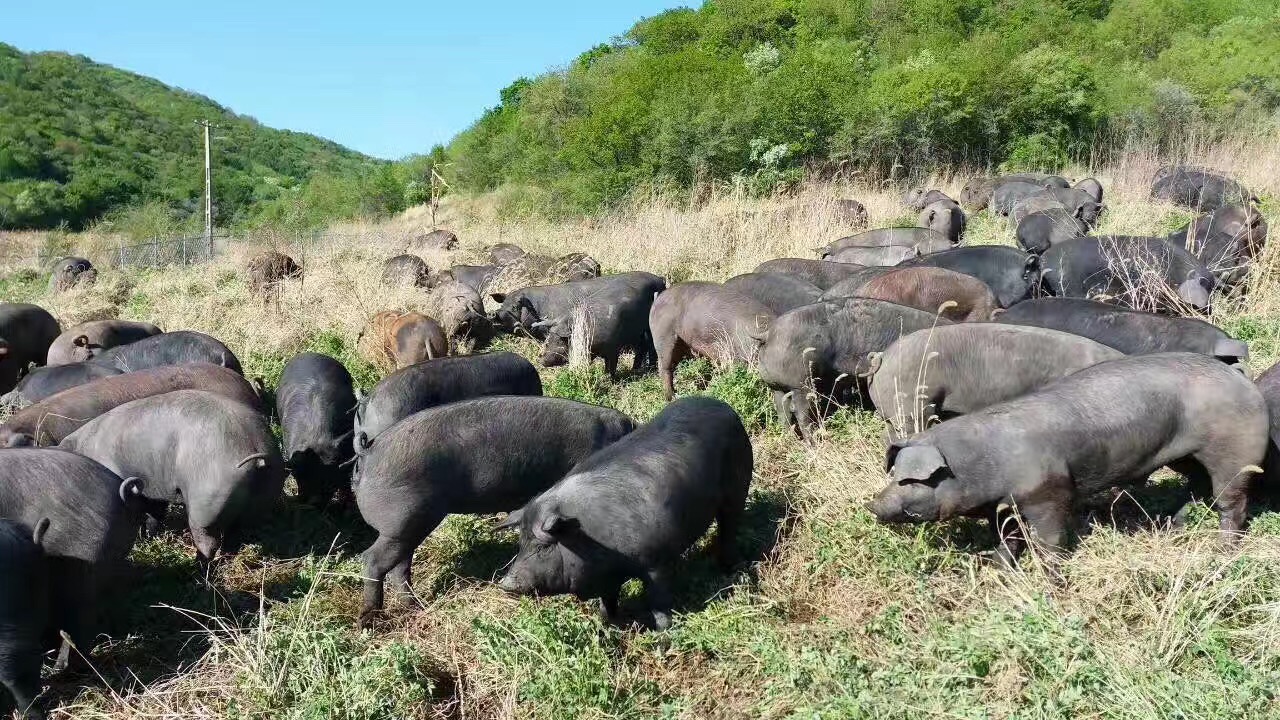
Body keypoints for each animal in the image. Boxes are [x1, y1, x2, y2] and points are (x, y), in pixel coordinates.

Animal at [60, 390, 285, 563]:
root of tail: (254, 450)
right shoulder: (153, 491)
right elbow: (155, 514)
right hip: (265, 495)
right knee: (239, 532)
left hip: (207, 502)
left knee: (207, 539)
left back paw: (198, 565)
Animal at [352, 396, 635, 626]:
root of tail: (369, 452)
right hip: (403, 521)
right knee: (373, 559)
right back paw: (369, 620)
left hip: (406, 527)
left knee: (399, 566)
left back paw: (415, 606)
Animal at [497, 396, 751, 630]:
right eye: (521, 543)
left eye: (542, 546)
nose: (505, 583)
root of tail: (724, 406)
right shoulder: (607, 577)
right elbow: (607, 602)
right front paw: (608, 625)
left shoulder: (656, 561)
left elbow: (658, 603)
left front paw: (662, 632)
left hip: (739, 486)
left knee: (730, 525)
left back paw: (734, 568)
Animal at [756, 298, 949, 439]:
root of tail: (768, 334)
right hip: (801, 385)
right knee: (802, 415)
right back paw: (815, 444)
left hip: (777, 386)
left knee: (783, 412)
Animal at [869, 354, 1269, 563]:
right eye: (894, 475)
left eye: (913, 480)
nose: (873, 504)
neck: (983, 461)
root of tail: (1243, 382)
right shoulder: (1003, 506)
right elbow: (1008, 537)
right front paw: (998, 565)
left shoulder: (1049, 492)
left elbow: (1051, 538)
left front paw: (1051, 575)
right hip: (1185, 456)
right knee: (1197, 486)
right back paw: (1174, 524)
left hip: (1234, 454)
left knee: (1232, 502)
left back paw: (1223, 552)